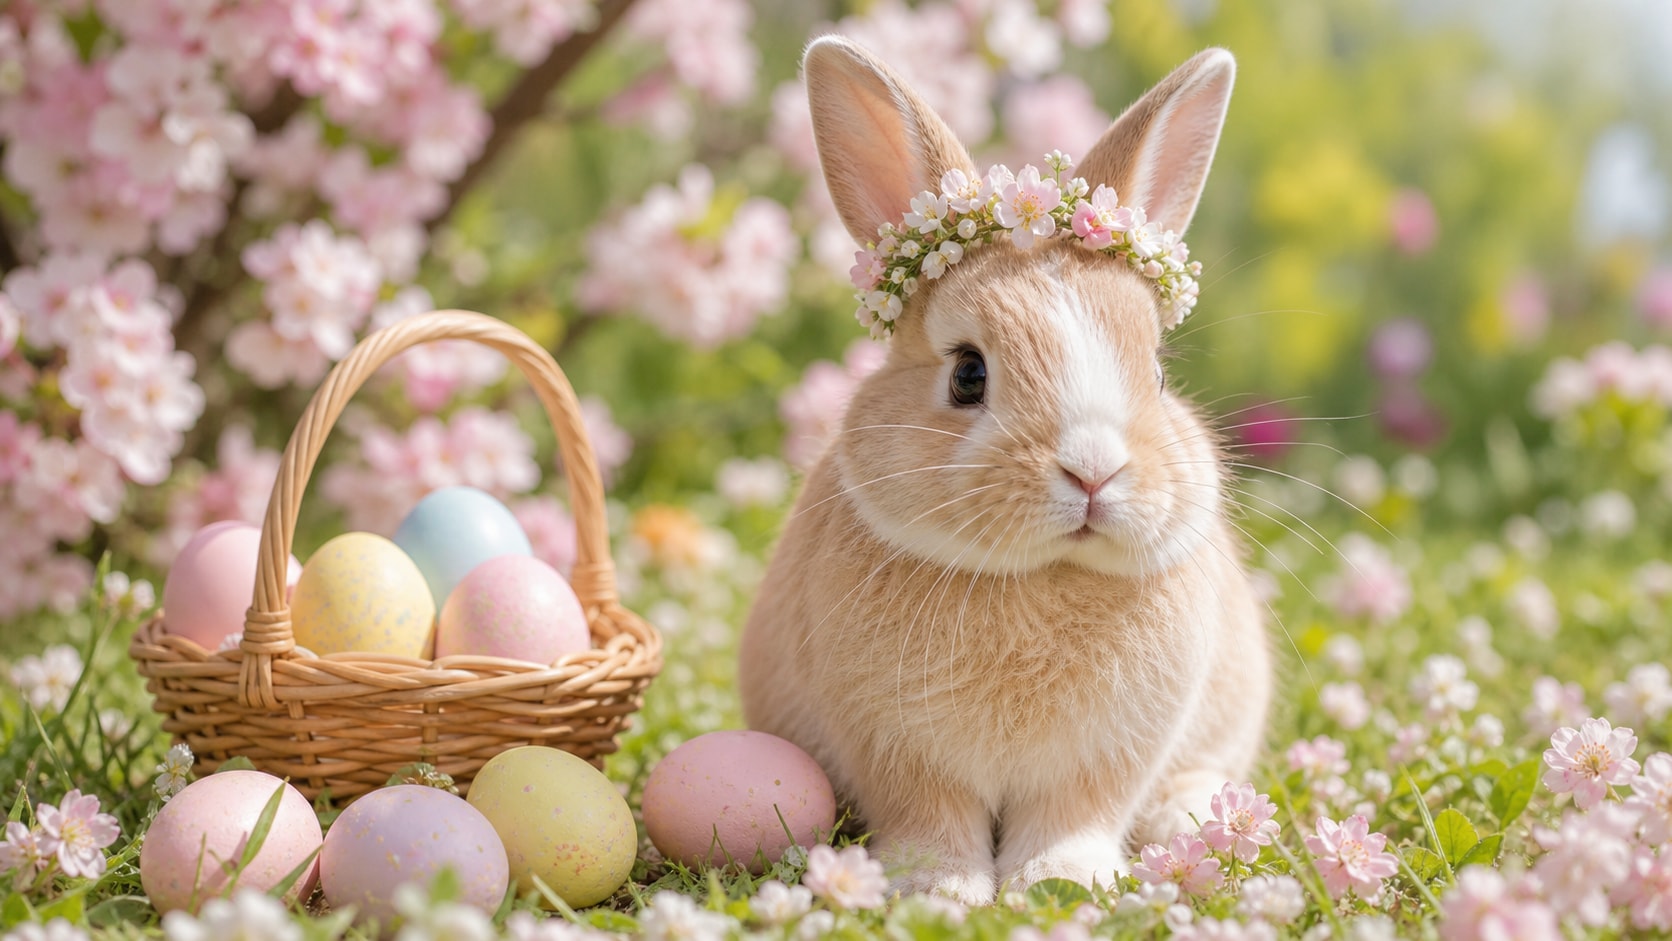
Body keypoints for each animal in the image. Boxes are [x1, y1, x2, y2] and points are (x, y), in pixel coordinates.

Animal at [738, 36, 1271, 904]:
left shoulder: (1105, 758)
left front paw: (1064, 883)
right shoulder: (897, 750)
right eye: (967, 375)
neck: (1040, 575)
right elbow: (930, 817)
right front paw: (941, 888)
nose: (1093, 472)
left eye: (1158, 374)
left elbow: (1074, 816)